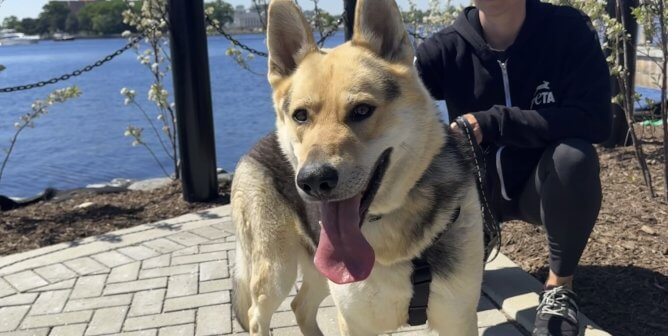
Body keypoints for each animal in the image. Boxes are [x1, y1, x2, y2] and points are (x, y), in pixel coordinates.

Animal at [232, 0, 482, 334]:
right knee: (257, 316)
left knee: (300, 306)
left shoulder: (459, 319)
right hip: (276, 269)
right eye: (300, 116)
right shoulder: (354, 320)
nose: (314, 180)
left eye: (362, 110)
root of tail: (254, 146)